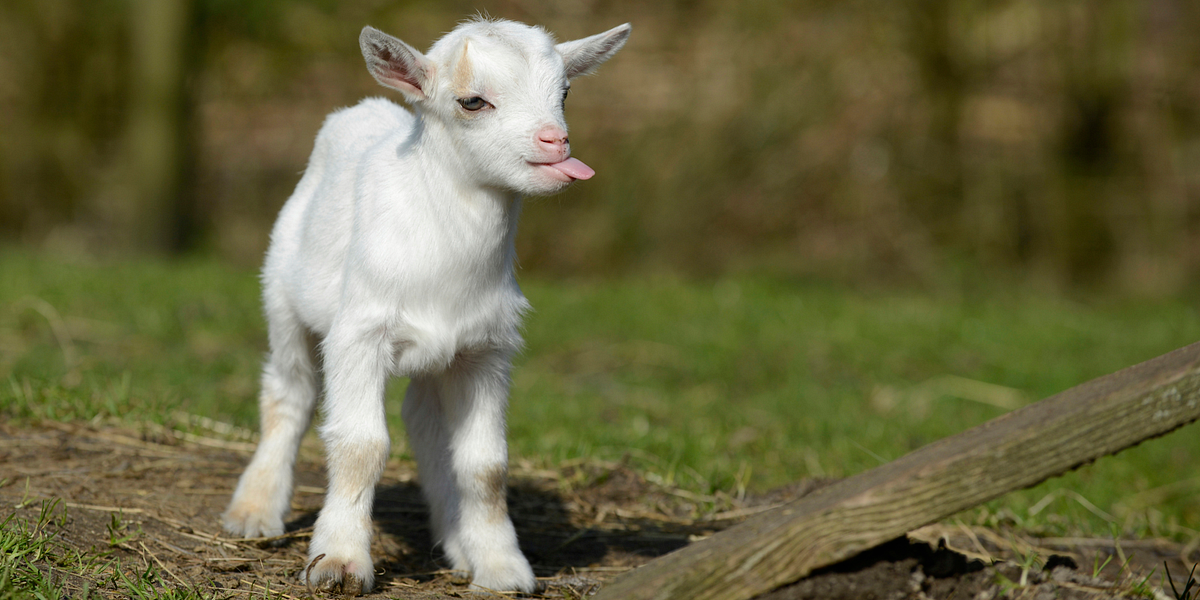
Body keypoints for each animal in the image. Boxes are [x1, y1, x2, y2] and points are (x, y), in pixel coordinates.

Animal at [220, 17, 630, 594]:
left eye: (566, 92)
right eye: (473, 101)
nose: (556, 141)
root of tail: (366, 108)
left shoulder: (487, 349)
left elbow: (485, 464)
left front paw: (501, 568)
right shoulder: (359, 334)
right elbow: (360, 445)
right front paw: (339, 561)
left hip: (440, 357)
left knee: (424, 421)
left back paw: (456, 542)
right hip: (282, 299)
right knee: (289, 392)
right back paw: (254, 511)